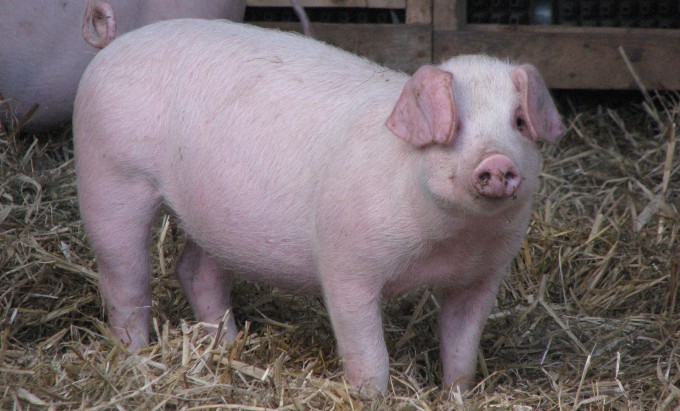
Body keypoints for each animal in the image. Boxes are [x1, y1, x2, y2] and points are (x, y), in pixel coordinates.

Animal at [73, 19, 565, 395]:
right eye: (455, 125)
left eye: (519, 122)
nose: (497, 162)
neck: (448, 244)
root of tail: (114, 43)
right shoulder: (346, 263)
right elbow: (367, 351)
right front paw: (373, 397)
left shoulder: (484, 276)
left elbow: (462, 346)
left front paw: (456, 394)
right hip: (111, 176)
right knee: (125, 280)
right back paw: (137, 355)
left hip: (213, 218)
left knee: (197, 272)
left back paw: (229, 347)